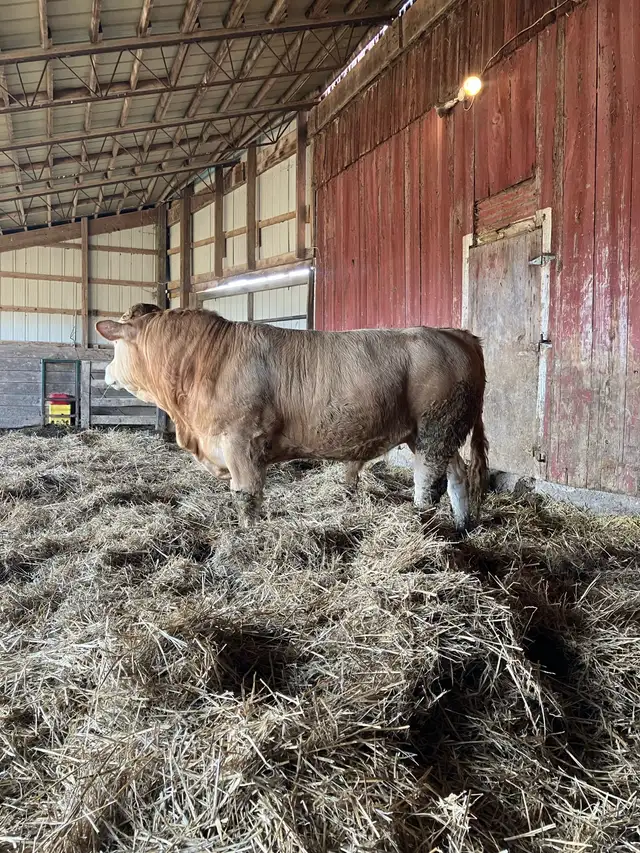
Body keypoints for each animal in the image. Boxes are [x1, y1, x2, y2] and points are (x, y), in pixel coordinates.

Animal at [97, 307, 489, 531]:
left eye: (113, 346)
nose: (105, 372)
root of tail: (452, 332)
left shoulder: (242, 442)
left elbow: (246, 497)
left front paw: (245, 539)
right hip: (439, 433)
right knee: (456, 477)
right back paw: (462, 527)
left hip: (435, 428)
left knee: (428, 483)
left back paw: (422, 524)